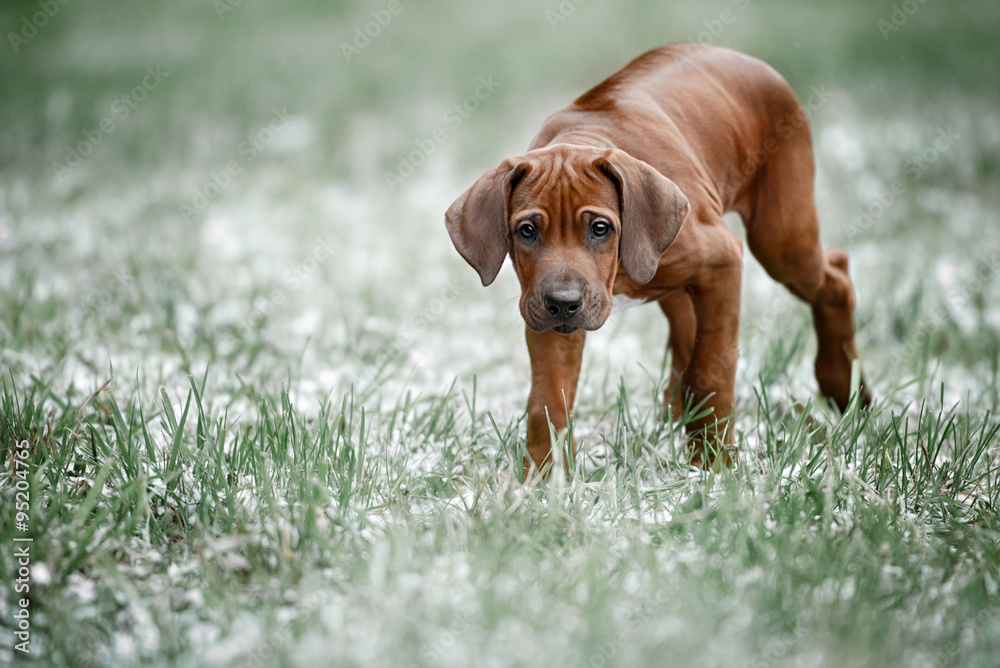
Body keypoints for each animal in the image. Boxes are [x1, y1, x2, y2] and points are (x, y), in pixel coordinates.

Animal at [446, 43, 868, 474]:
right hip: (684, 286)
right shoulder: (546, 315)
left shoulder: (722, 264)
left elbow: (709, 372)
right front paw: (544, 479)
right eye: (527, 231)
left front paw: (713, 466)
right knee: (686, 333)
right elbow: (549, 399)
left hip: (782, 241)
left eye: (600, 228)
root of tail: (742, 57)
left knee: (835, 275)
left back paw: (843, 388)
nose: (563, 303)